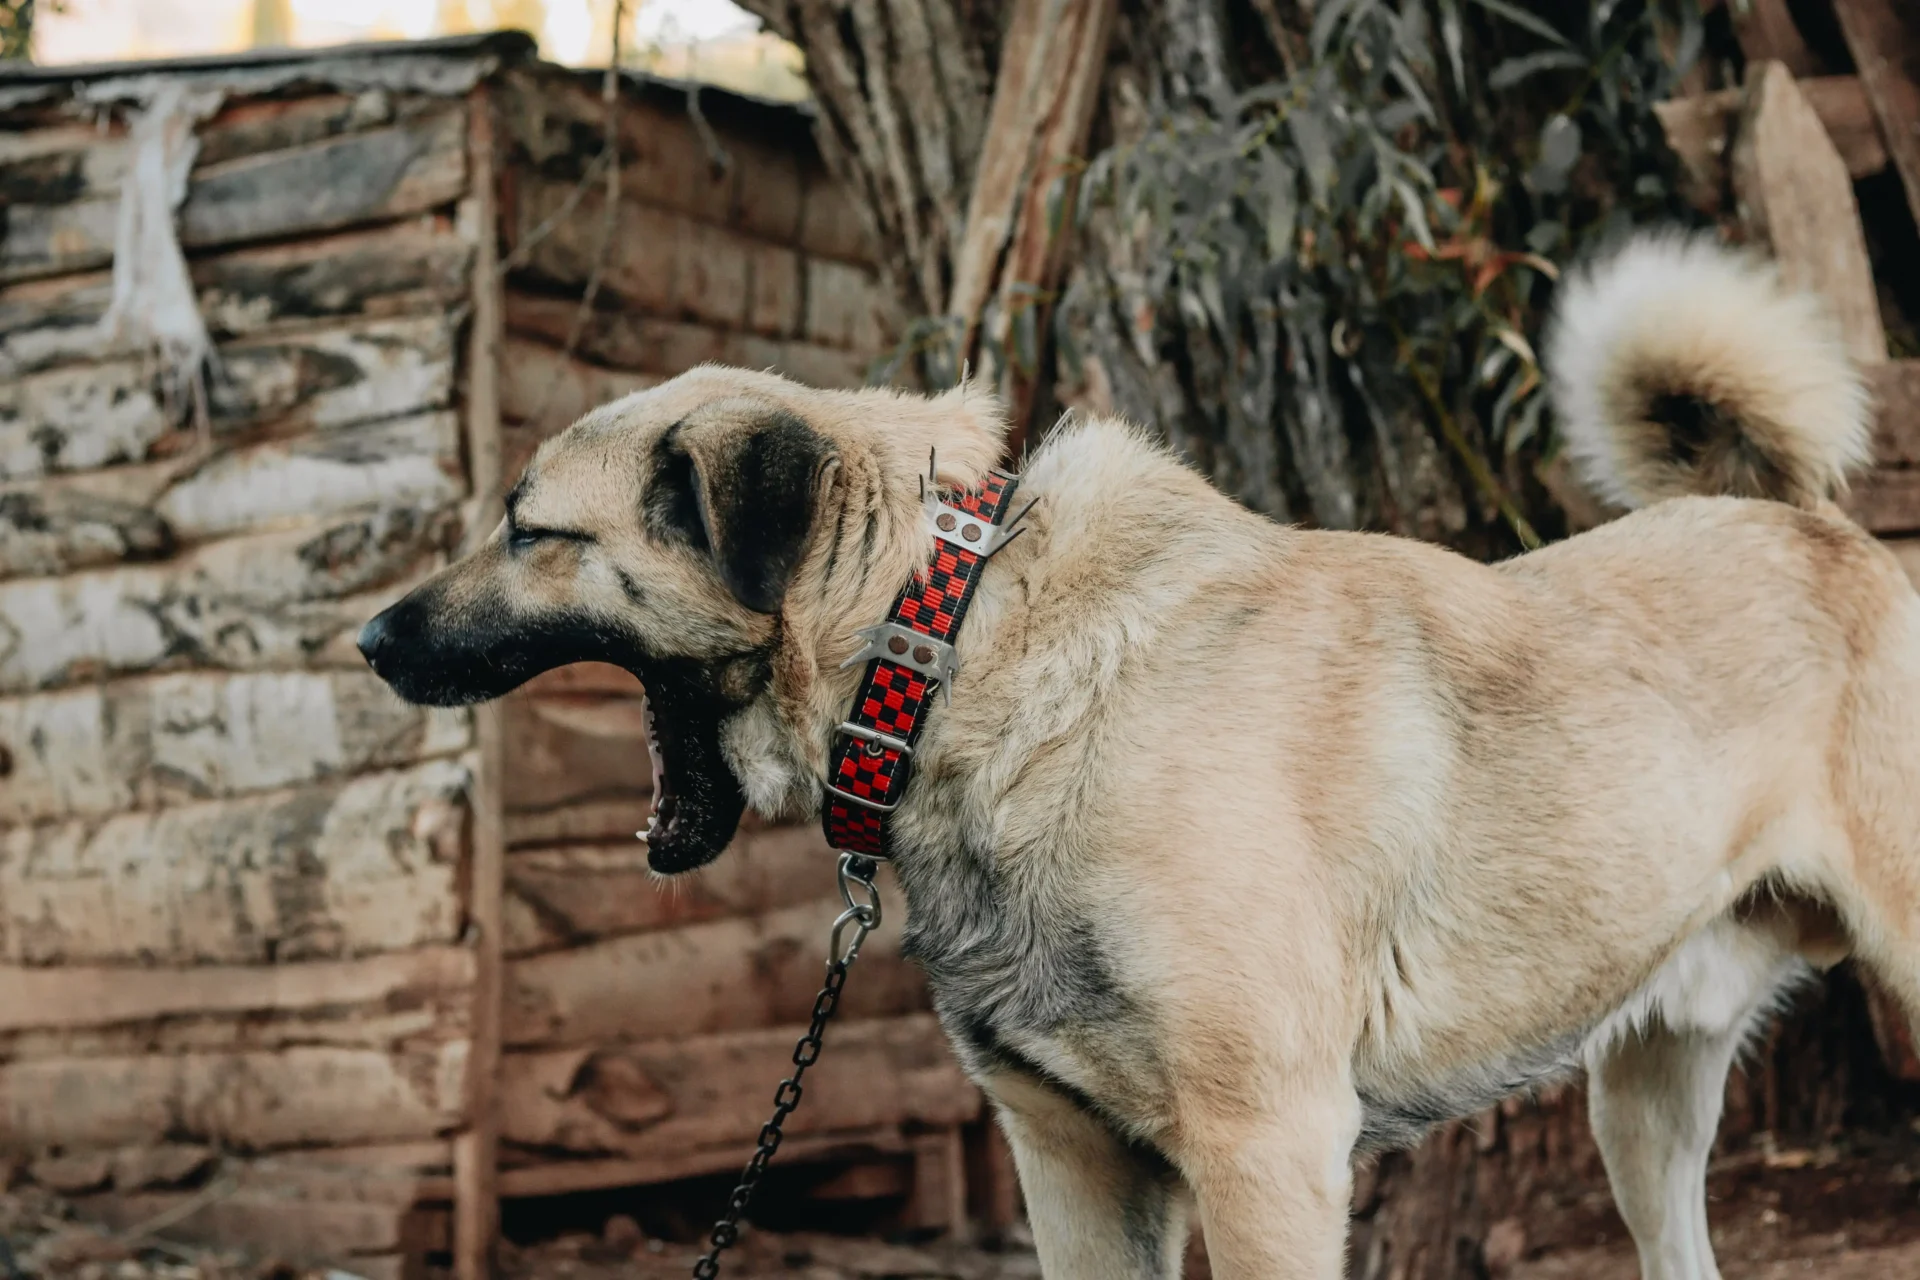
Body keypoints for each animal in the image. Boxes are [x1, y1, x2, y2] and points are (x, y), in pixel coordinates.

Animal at [357, 233, 1904, 1280]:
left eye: (532, 531)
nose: (368, 639)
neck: (963, 647)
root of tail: (1812, 525)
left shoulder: (1269, 1151)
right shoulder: (1075, 1162)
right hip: (1643, 1102)